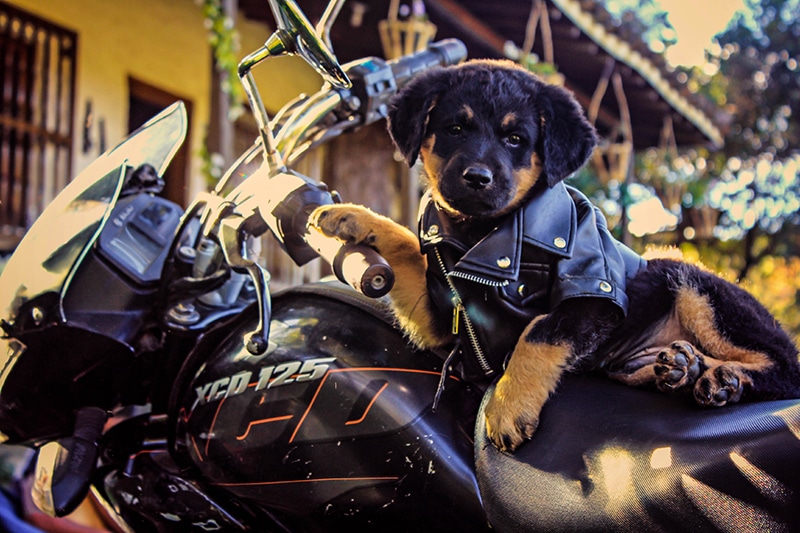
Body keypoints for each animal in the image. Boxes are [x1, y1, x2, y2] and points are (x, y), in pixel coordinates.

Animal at [310, 57, 800, 448]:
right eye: (454, 129)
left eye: (515, 139)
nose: (477, 178)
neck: (480, 234)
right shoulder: (439, 314)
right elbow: (405, 245)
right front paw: (347, 217)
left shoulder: (594, 296)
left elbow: (539, 332)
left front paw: (507, 407)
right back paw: (683, 367)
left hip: (694, 284)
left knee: (784, 367)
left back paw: (722, 377)